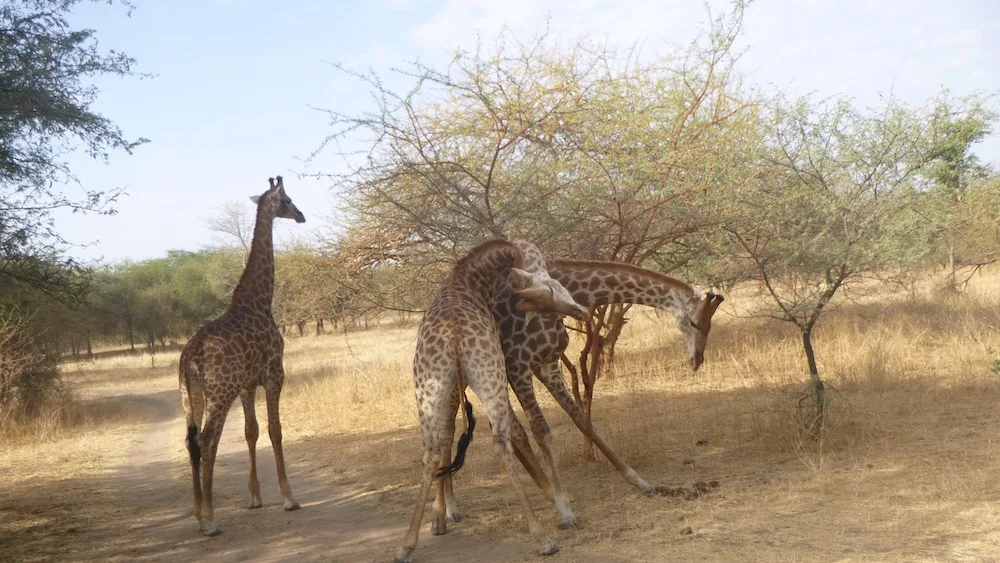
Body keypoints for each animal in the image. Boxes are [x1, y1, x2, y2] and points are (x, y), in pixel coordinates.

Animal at [179, 176, 304, 536]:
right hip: (219, 393)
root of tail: (190, 355)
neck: (260, 300)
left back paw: (198, 512)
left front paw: (254, 497)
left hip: (190, 395)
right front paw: (288, 497)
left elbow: (252, 431)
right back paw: (209, 521)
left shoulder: (248, 384)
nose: (301, 215)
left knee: (190, 441)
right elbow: (275, 430)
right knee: (207, 440)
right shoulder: (275, 374)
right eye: (288, 200)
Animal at [394, 239, 588, 563]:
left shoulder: (453, 387)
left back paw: (407, 545)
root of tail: (454, 336)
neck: (468, 281)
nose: (580, 310)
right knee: (501, 440)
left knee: (431, 450)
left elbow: (447, 437)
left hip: (428, 389)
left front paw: (440, 517)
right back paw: (543, 537)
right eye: (550, 287)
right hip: (490, 375)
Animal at [442, 258, 724, 532]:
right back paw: (448, 510)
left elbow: (582, 420)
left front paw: (640, 481)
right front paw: (566, 512)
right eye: (695, 322)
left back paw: (544, 490)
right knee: (448, 431)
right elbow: (540, 430)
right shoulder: (518, 365)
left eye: (710, 324)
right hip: (460, 381)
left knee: (506, 429)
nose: (697, 360)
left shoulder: (547, 364)